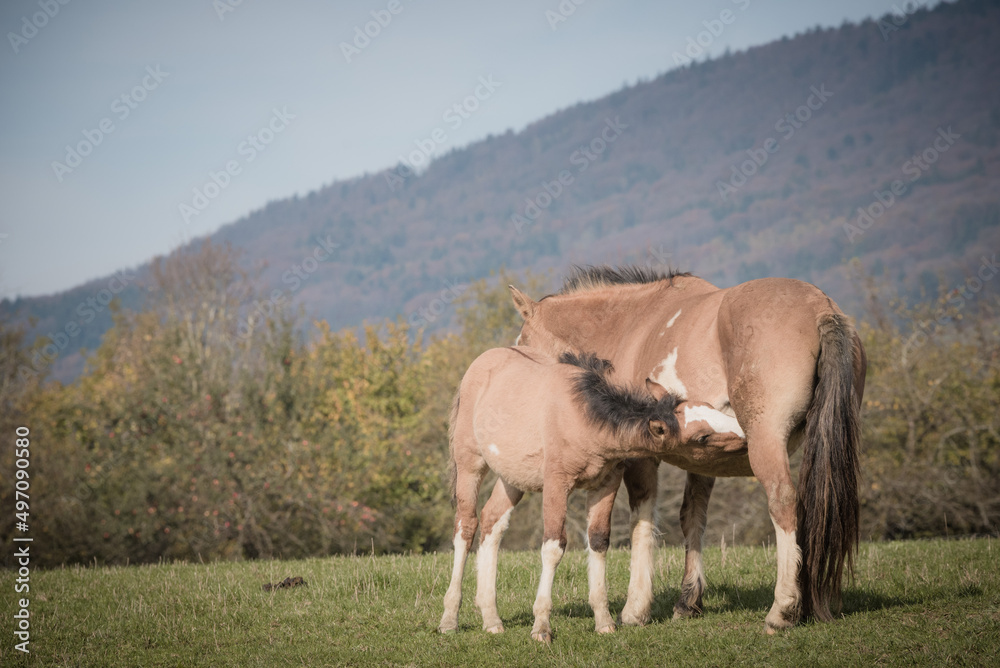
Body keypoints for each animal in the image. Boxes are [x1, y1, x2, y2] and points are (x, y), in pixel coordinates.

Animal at [438, 344, 744, 640]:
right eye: (702, 437)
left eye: (711, 408)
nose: (744, 435)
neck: (582, 418)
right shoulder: (556, 485)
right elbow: (553, 546)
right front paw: (541, 627)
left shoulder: (605, 484)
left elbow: (598, 541)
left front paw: (604, 621)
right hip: (470, 466)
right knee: (466, 527)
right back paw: (449, 619)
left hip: (512, 478)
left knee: (492, 523)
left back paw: (491, 619)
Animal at [512, 266, 864, 632]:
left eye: (522, 344)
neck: (629, 325)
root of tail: (820, 307)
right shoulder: (703, 458)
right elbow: (692, 516)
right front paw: (688, 601)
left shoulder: (639, 456)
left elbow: (642, 519)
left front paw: (636, 608)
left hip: (766, 445)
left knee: (783, 502)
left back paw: (782, 609)